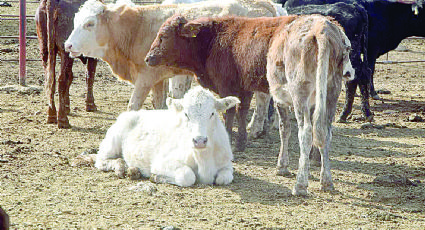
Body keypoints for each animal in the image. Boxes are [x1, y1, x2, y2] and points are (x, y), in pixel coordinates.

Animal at [35, 0, 97, 129]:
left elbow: (71, 77)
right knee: (61, 80)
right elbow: (90, 76)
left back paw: (52, 115)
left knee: (50, 80)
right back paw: (63, 119)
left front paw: (67, 107)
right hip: (65, 52)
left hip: (45, 49)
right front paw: (90, 105)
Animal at [63, 0, 274, 110]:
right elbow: (159, 104)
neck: (135, 28)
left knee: (263, 98)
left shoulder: (145, 77)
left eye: (90, 23)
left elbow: (133, 105)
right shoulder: (158, 78)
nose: (68, 45)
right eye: (75, 21)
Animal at [144, 13, 352, 194]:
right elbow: (242, 111)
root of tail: (321, 28)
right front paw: (241, 141)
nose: (148, 58)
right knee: (324, 130)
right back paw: (326, 180)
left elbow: (237, 115)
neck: (213, 39)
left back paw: (300, 184)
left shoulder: (232, 85)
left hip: (299, 92)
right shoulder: (245, 87)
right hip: (331, 91)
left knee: (306, 132)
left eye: (163, 36)